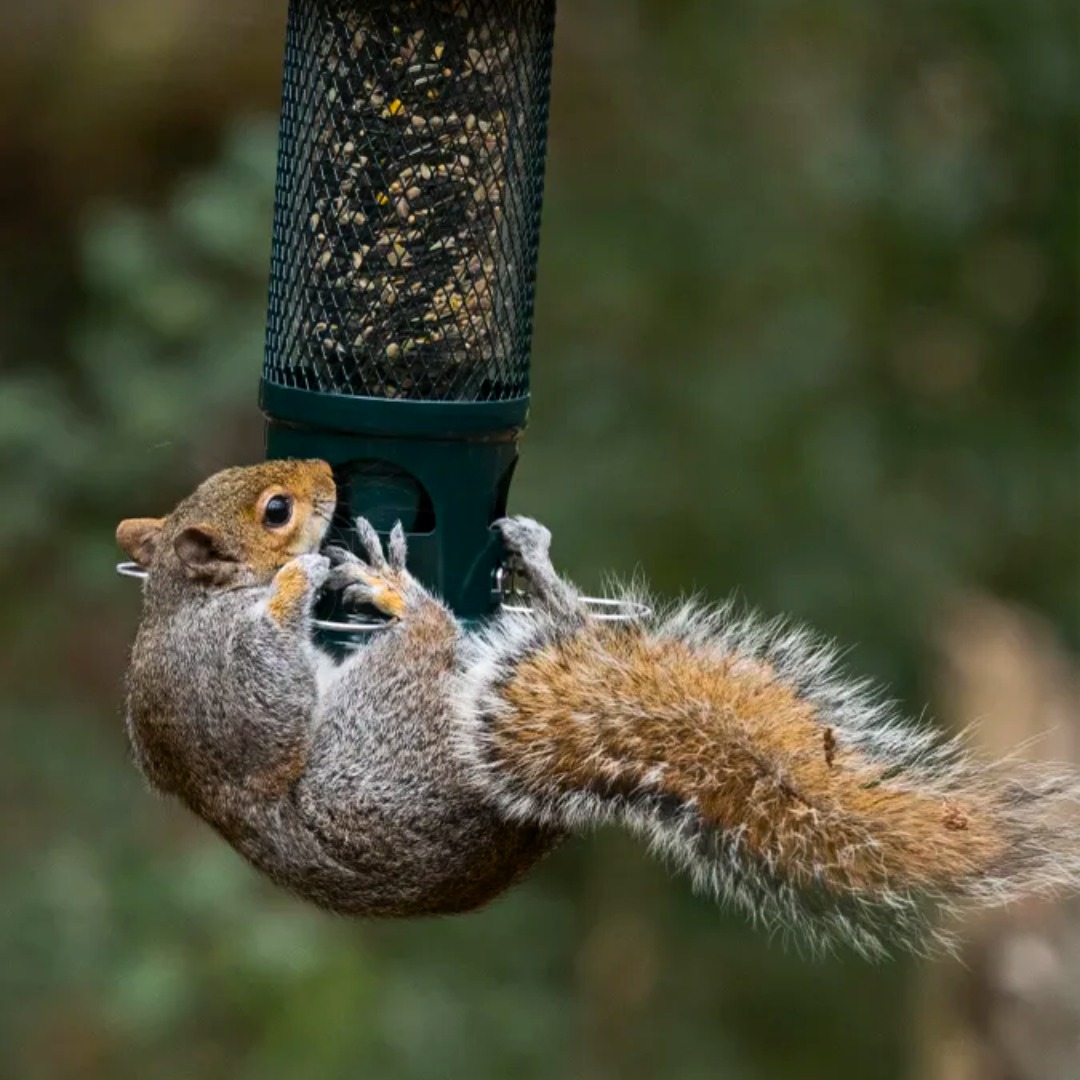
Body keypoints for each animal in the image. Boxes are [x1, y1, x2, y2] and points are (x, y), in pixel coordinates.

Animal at [117, 459, 1080, 957]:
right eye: (276, 510)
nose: (322, 471)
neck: (178, 601)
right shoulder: (218, 682)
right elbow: (265, 707)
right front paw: (294, 581)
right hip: (392, 721)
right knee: (449, 637)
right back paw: (406, 592)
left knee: (573, 631)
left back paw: (535, 573)